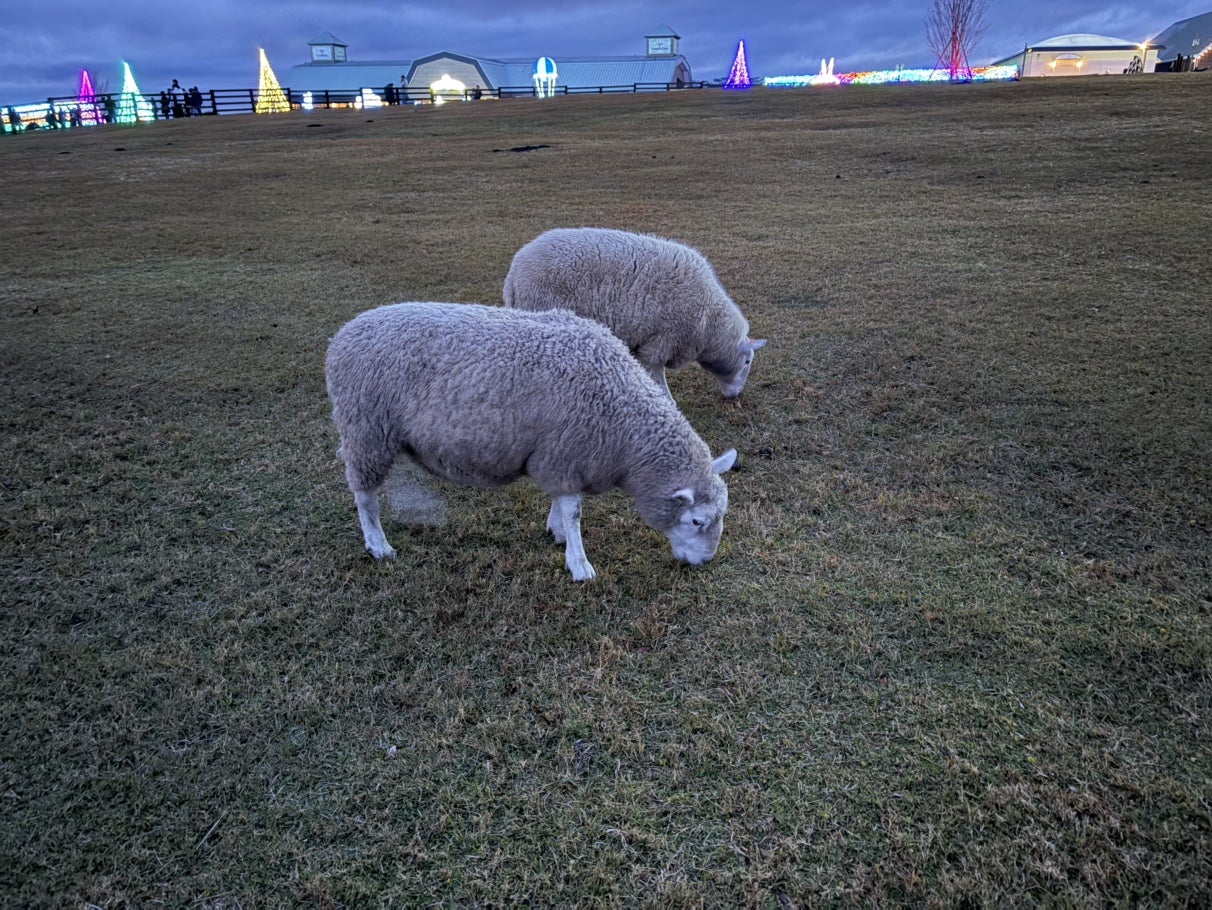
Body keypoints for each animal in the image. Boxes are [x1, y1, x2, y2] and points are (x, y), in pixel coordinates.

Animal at [325, 301, 738, 581]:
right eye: (698, 520)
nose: (705, 562)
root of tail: (342, 336)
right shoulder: (566, 453)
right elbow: (574, 511)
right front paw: (579, 564)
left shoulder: (561, 457)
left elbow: (562, 504)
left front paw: (557, 534)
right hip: (365, 428)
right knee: (365, 496)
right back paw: (378, 545)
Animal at [502, 227, 767, 400]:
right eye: (747, 361)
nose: (735, 395)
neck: (709, 323)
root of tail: (514, 273)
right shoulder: (659, 344)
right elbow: (658, 381)